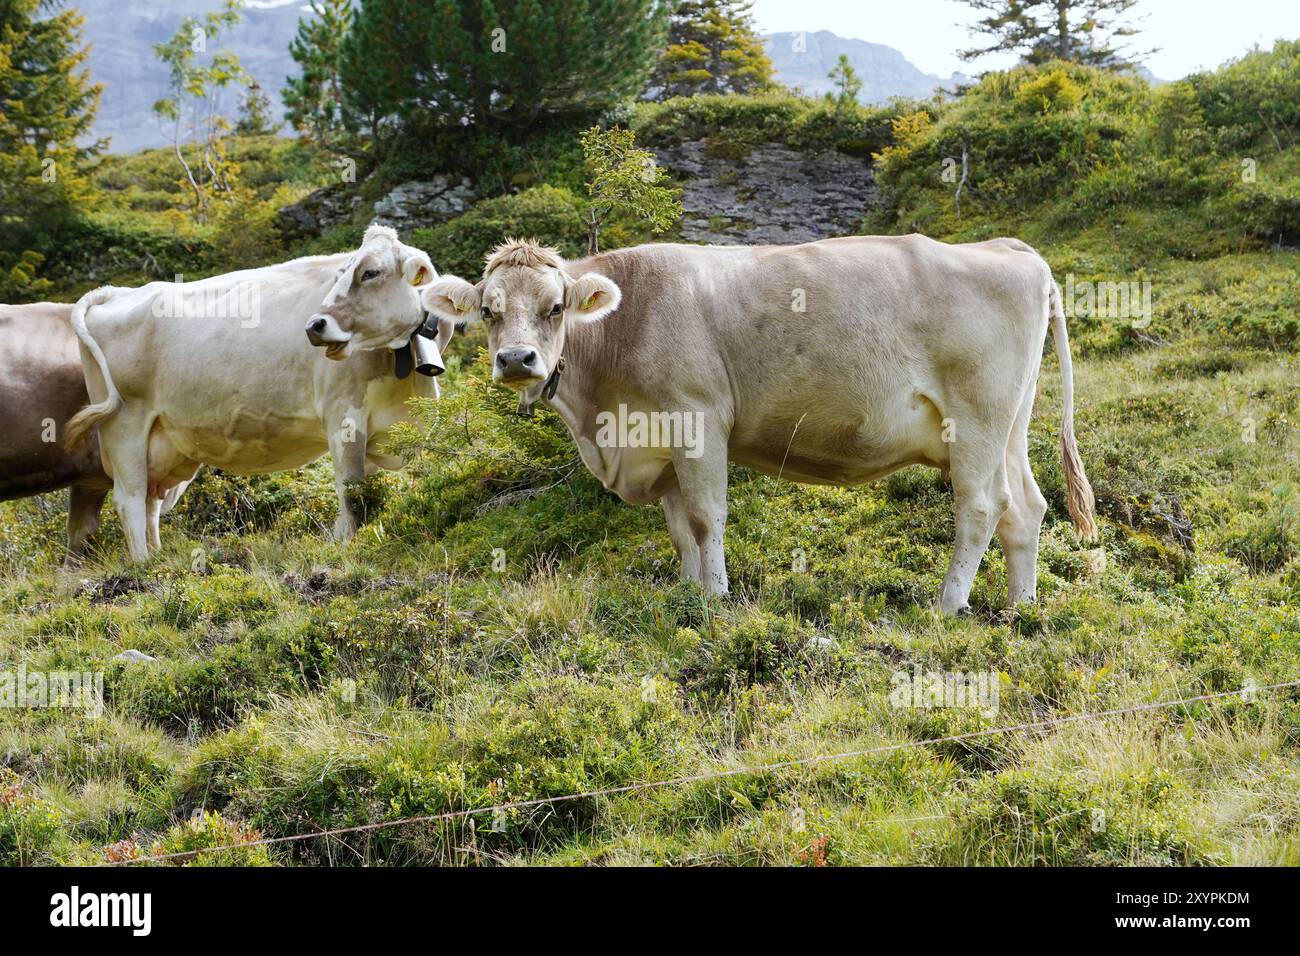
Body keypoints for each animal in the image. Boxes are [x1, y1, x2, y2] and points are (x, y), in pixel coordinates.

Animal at [65, 225, 452, 561]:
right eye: (340, 273)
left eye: (370, 272)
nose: (315, 326)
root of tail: (117, 291)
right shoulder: (343, 414)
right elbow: (351, 490)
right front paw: (346, 545)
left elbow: (370, 492)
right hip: (124, 423)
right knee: (129, 497)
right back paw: (143, 564)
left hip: (163, 440)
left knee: (150, 500)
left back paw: (158, 557)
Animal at [421, 235, 1097, 615]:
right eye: (488, 311)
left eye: (555, 307)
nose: (516, 360)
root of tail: (1008, 248)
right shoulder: (663, 445)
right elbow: (679, 531)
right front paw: (689, 593)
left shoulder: (697, 418)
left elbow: (705, 517)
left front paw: (718, 600)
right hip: (1010, 424)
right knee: (1026, 508)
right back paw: (1023, 608)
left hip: (977, 417)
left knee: (981, 506)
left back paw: (949, 605)